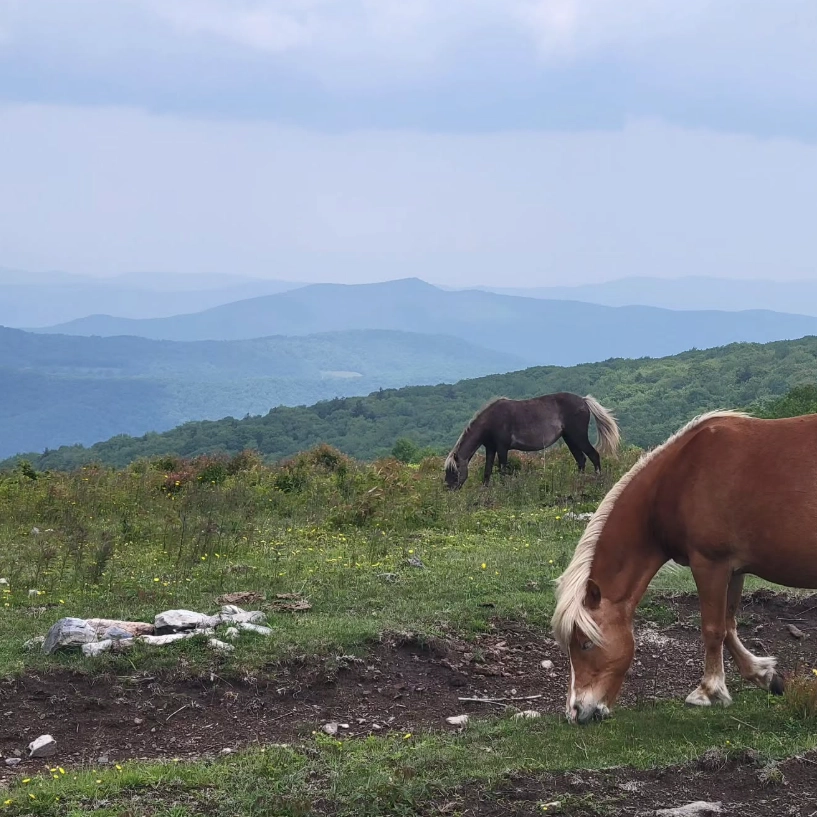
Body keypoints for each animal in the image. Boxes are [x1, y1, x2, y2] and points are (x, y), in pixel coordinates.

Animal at [446, 392, 620, 488]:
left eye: (453, 470)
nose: (448, 488)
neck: (491, 420)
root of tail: (584, 401)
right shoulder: (491, 448)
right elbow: (487, 470)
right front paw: (485, 489)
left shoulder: (502, 448)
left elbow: (502, 470)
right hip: (570, 439)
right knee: (581, 459)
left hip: (578, 436)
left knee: (593, 455)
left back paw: (597, 481)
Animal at [548, 412, 816, 724]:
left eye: (585, 644)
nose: (576, 712)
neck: (679, 476)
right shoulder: (734, 569)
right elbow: (729, 625)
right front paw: (763, 674)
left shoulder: (709, 564)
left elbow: (713, 628)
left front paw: (708, 691)